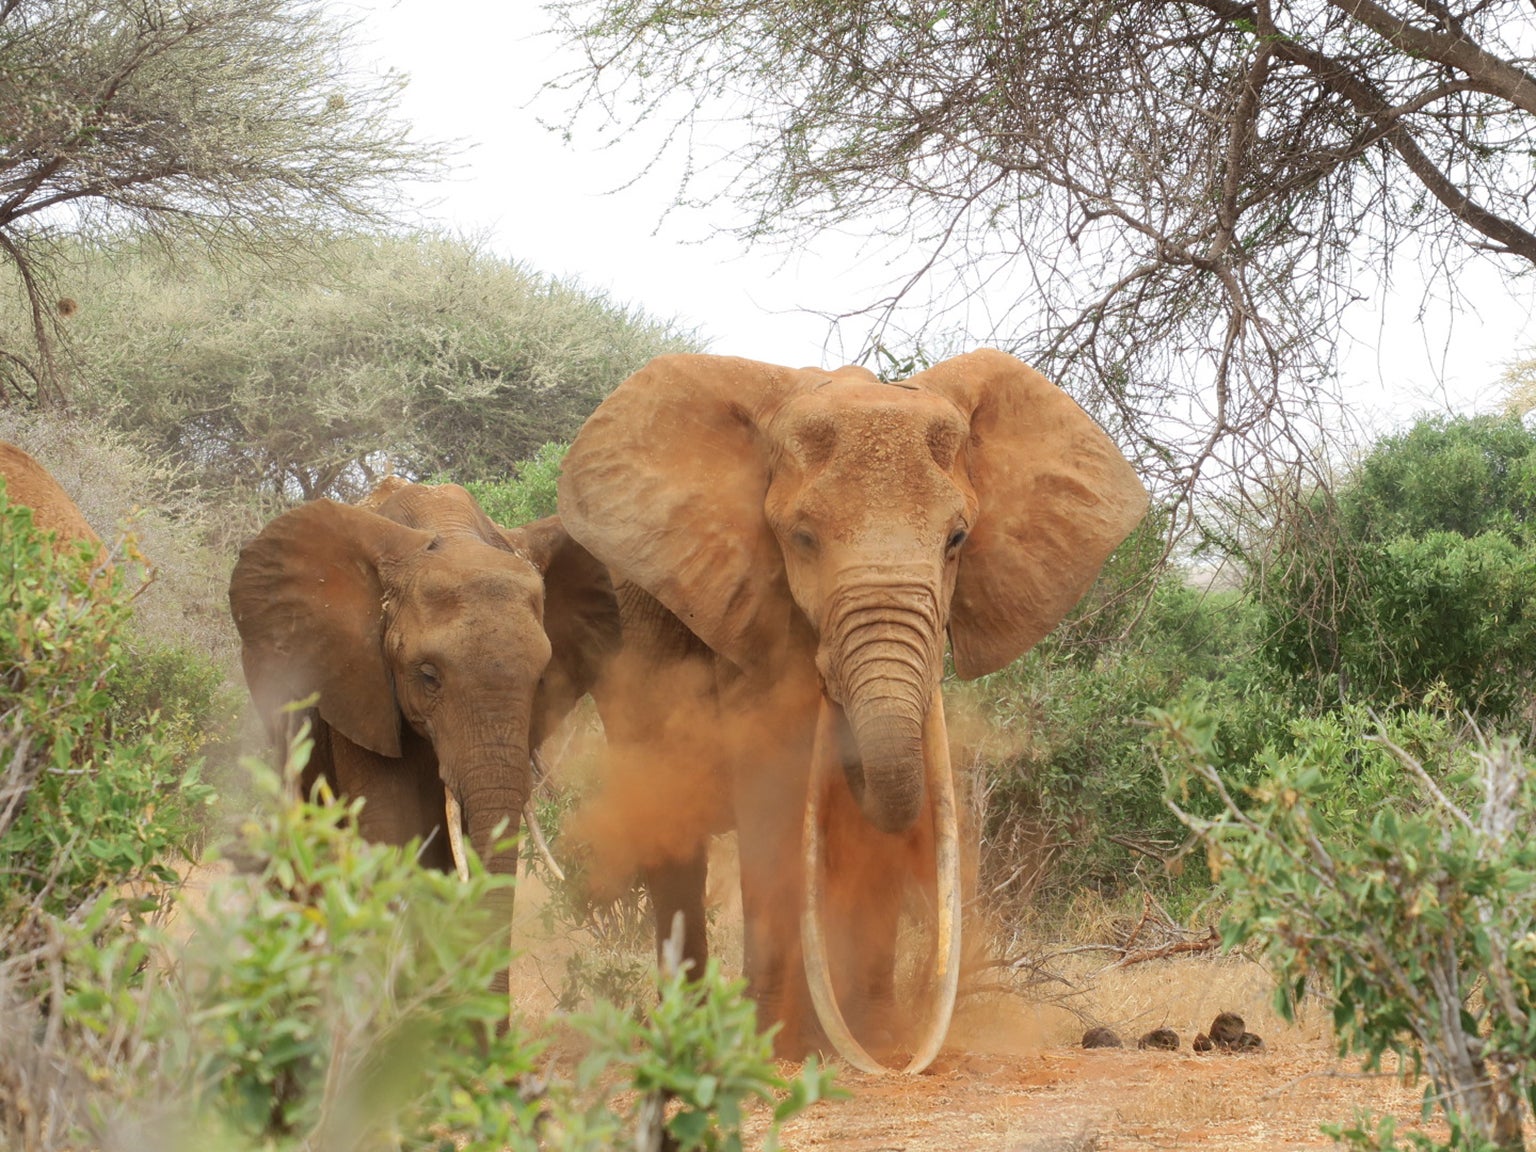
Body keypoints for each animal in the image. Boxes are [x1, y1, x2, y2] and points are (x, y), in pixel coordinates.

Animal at [559, 350, 1148, 1075]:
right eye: (802, 539)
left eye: (957, 539)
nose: (899, 1062)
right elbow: (773, 790)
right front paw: (776, 1042)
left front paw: (880, 1039)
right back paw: (691, 1026)